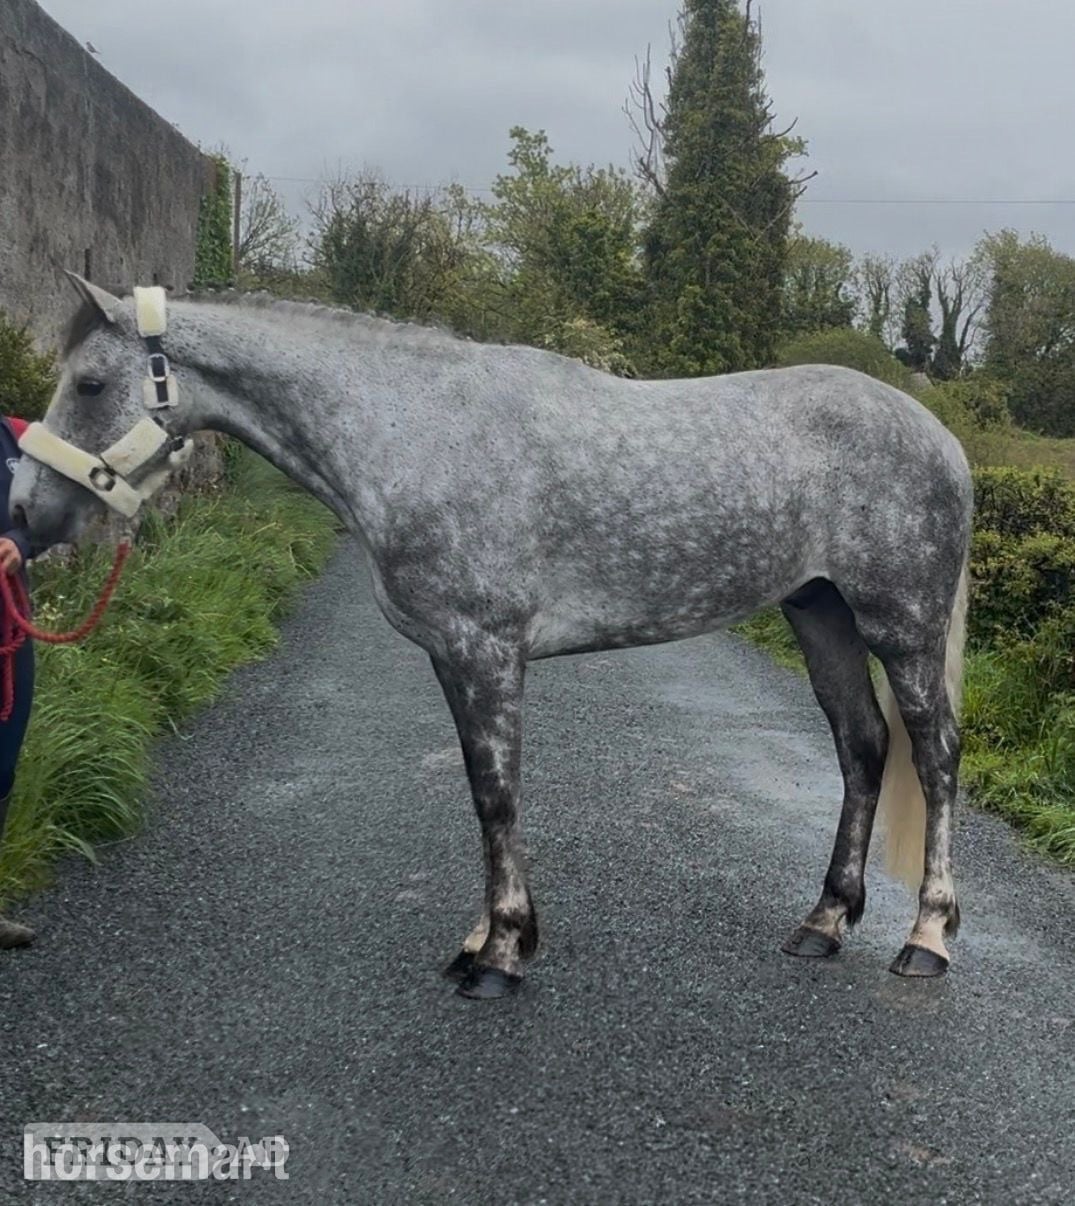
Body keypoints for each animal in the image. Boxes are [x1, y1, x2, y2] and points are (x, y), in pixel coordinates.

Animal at [10, 274, 972, 1000]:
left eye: (89, 384)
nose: (25, 514)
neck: (417, 431)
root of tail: (941, 436)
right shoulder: (450, 655)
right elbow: (479, 794)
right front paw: (478, 941)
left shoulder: (486, 650)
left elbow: (499, 797)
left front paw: (503, 955)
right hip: (820, 614)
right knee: (860, 747)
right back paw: (823, 921)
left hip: (900, 627)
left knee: (932, 757)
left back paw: (925, 938)